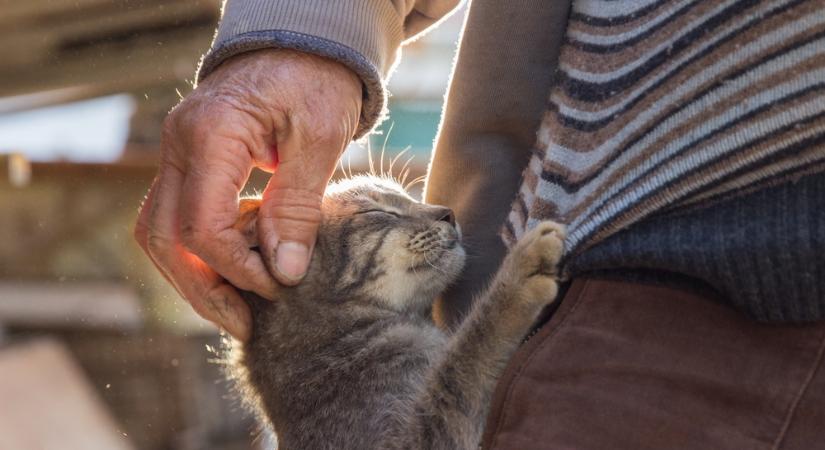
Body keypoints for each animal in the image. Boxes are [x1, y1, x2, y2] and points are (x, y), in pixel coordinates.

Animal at [229, 176, 564, 450]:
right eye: (379, 213)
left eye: (408, 197)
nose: (449, 212)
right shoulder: (405, 440)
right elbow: (465, 359)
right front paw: (518, 274)